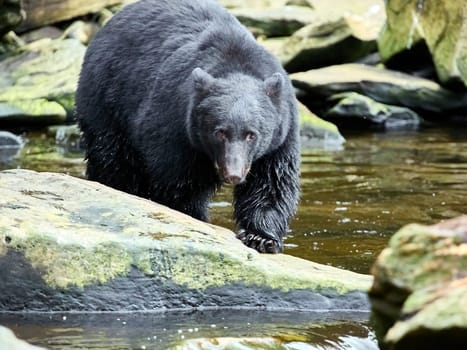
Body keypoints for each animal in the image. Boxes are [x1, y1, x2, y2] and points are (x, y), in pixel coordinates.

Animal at [75, 0, 302, 253]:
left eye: (251, 134)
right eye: (219, 132)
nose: (233, 174)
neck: (235, 64)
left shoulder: (281, 135)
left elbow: (272, 183)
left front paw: (261, 237)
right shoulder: (175, 124)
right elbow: (177, 183)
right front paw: (196, 218)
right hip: (106, 99)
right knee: (112, 159)